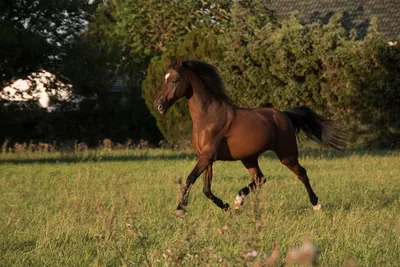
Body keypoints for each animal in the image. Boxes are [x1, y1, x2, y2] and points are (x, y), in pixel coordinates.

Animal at [153, 58, 346, 218]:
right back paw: (239, 201)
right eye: (164, 79)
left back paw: (316, 205)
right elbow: (206, 189)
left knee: (302, 174)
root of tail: (284, 115)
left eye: (175, 80)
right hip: (249, 158)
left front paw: (180, 209)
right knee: (260, 179)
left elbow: (191, 178)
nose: (159, 105)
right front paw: (226, 207)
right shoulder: (207, 158)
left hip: (287, 155)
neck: (208, 116)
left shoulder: (208, 156)